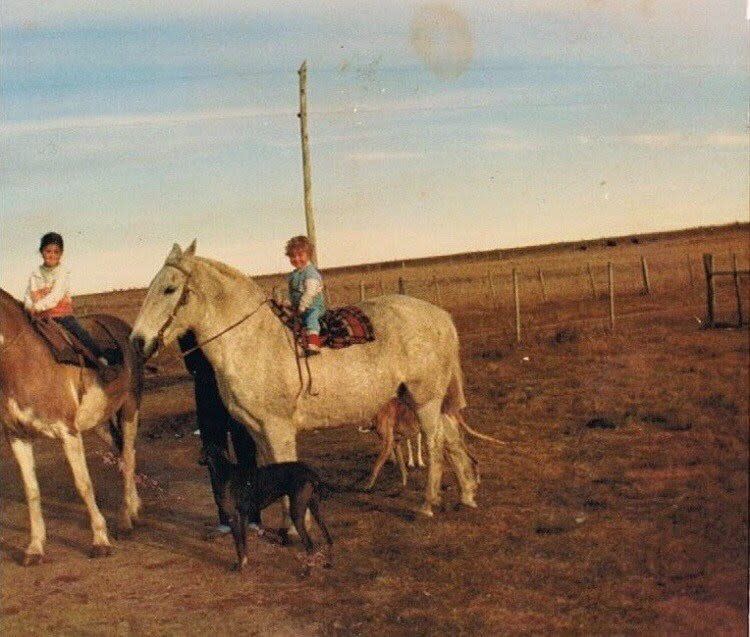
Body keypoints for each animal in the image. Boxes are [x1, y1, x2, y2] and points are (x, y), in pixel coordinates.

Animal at [0, 288, 143, 560]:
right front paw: (35, 547)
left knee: (130, 458)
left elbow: (83, 485)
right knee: (122, 456)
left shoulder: (68, 433)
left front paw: (100, 541)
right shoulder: (18, 437)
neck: (22, 362)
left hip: (130, 410)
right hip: (100, 423)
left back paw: (125, 521)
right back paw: (133, 508)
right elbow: (31, 491)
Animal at [131, 242, 478, 516]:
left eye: (170, 288)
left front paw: (297, 529)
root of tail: (440, 316)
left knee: (435, 442)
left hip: (425, 399)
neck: (251, 341)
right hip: (424, 399)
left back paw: (428, 504)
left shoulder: (278, 428)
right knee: (451, 439)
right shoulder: (257, 430)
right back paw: (466, 495)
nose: (138, 341)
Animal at [204, 442, 336, 572]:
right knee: (328, 537)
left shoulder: (233, 516)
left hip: (296, 512)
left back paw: (307, 571)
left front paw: (240, 566)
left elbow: (239, 545)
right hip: (315, 509)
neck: (223, 469)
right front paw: (245, 562)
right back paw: (329, 563)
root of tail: (311, 473)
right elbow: (244, 543)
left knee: (309, 545)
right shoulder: (244, 515)